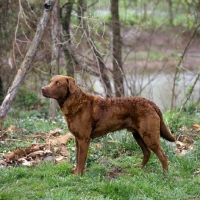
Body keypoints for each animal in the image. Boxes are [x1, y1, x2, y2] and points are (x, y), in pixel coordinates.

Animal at [42, 76, 175, 174]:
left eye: (58, 83)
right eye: (50, 81)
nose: (43, 88)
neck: (76, 103)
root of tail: (151, 103)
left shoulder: (84, 139)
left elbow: (81, 159)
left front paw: (78, 175)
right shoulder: (77, 139)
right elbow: (78, 157)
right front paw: (75, 172)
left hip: (149, 135)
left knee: (163, 156)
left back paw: (165, 174)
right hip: (138, 135)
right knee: (147, 153)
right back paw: (139, 168)